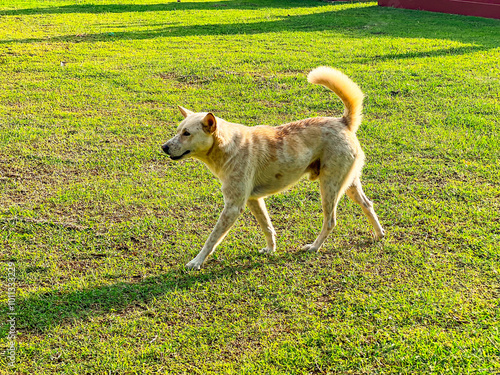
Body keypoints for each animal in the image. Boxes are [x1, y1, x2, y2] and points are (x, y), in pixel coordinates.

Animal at [162, 65, 384, 270]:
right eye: (178, 130)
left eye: (187, 133)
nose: (163, 147)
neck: (227, 145)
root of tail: (343, 121)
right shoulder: (254, 200)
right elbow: (267, 226)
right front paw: (270, 249)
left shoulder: (233, 206)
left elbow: (212, 239)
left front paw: (196, 261)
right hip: (349, 184)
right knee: (368, 205)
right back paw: (379, 234)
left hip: (329, 186)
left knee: (330, 222)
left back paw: (314, 246)